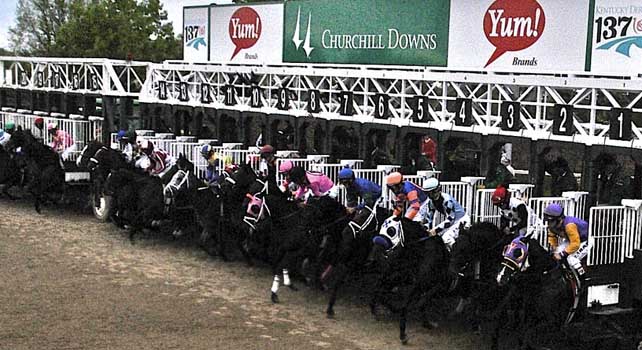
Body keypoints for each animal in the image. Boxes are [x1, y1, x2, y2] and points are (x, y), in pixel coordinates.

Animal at [368, 217, 448, 346]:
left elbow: (418, 303)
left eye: (391, 230)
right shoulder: (406, 280)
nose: (372, 258)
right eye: (381, 227)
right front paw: (403, 335)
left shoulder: (435, 283)